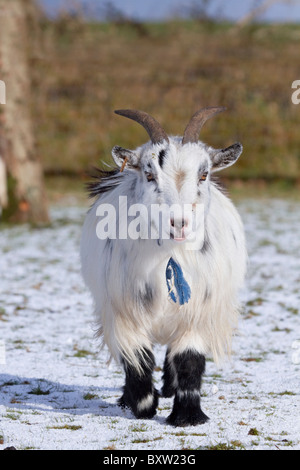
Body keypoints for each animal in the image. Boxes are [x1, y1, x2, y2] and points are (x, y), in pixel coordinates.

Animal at [79, 108, 246, 428]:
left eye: (204, 174)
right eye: (149, 174)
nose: (179, 222)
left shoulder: (198, 312)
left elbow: (189, 360)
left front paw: (188, 416)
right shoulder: (122, 312)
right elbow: (137, 359)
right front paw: (142, 405)